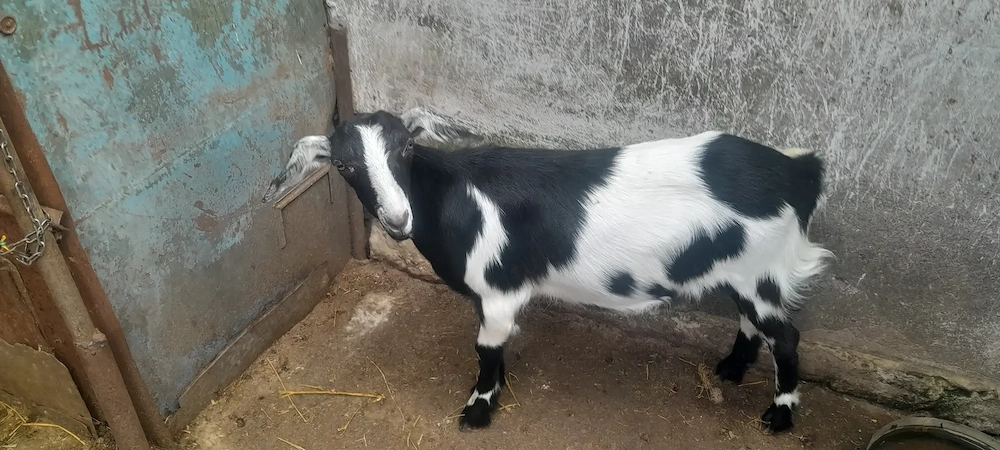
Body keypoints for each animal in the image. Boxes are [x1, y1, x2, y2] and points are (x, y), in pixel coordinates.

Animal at [263, 109, 831, 434]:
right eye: (344, 166)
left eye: (406, 147)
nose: (398, 219)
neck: (454, 198)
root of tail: (798, 171)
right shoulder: (489, 295)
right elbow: (494, 346)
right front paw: (497, 386)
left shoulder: (498, 288)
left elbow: (485, 348)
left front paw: (478, 410)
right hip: (743, 270)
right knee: (753, 320)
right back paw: (731, 369)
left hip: (758, 268)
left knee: (787, 336)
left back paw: (779, 415)